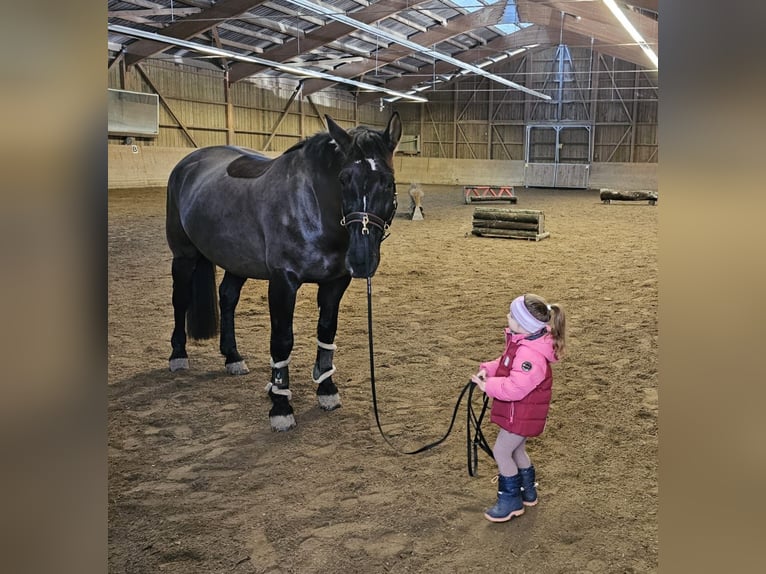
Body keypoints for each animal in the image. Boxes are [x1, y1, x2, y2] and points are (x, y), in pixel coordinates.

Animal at [166, 113, 404, 432]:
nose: (361, 259)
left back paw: (232, 357)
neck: (313, 206)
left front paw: (327, 390)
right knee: (180, 301)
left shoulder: (335, 283)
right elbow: (281, 341)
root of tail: (189, 162)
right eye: (343, 179)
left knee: (227, 299)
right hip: (184, 257)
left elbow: (326, 331)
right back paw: (178, 355)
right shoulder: (283, 282)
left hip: (237, 261)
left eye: (388, 182)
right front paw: (280, 406)